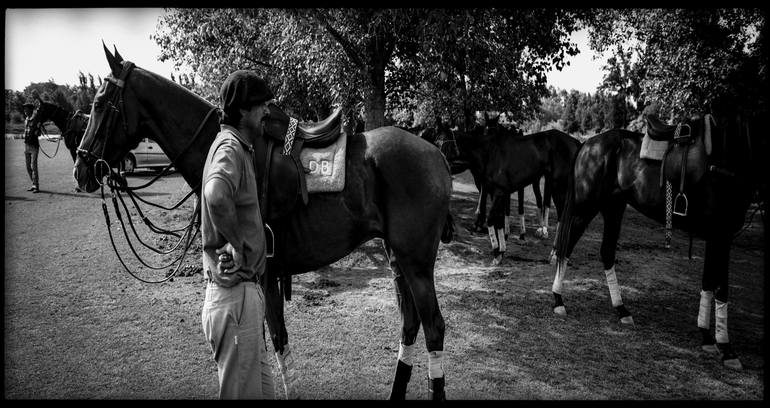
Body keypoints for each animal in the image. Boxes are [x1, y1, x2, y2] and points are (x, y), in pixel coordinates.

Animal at [73, 46, 452, 400]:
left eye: (100, 103)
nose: (81, 169)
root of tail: (438, 154)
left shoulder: (265, 273)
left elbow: (276, 340)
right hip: (396, 258)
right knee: (410, 324)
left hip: (416, 263)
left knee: (433, 327)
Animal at [548, 113, 760, 372]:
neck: (731, 155)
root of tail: (589, 143)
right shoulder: (721, 235)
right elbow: (721, 287)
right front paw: (726, 348)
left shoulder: (716, 237)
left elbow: (709, 281)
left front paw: (707, 337)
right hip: (585, 208)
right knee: (565, 248)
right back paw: (558, 301)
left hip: (613, 208)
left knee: (606, 252)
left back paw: (621, 310)